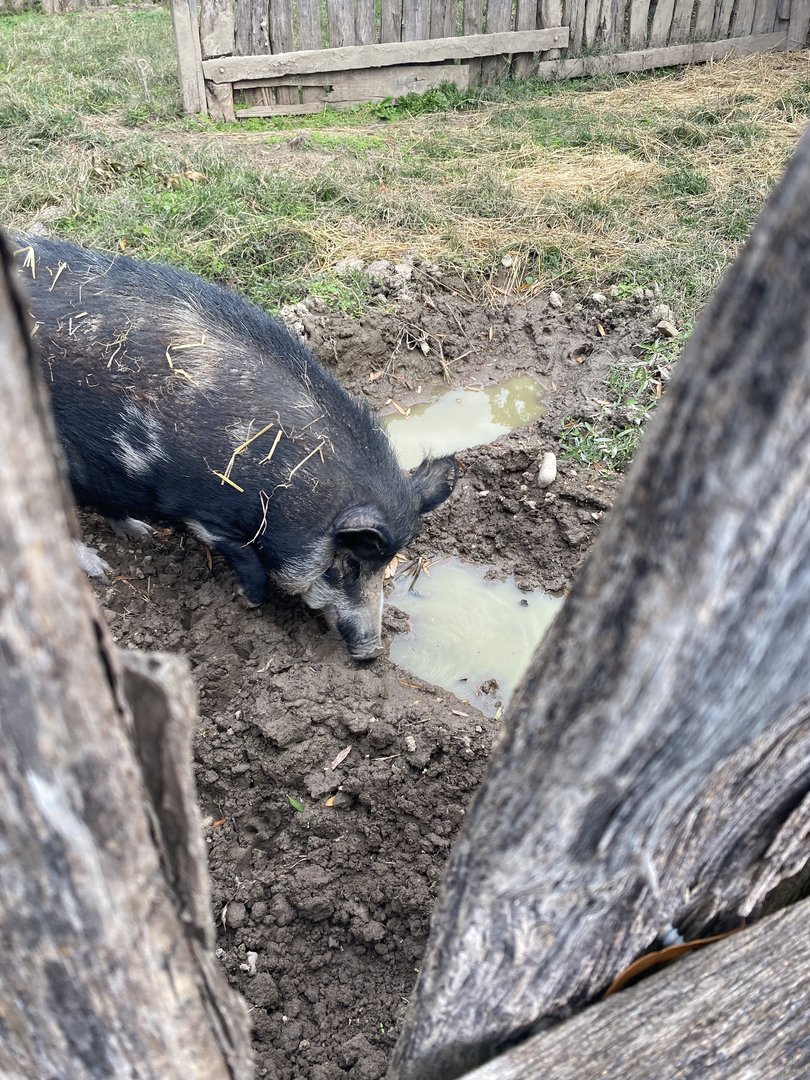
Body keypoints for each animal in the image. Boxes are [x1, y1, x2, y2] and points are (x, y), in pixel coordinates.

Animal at [13, 234, 457, 660]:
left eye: (385, 565)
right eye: (349, 563)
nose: (372, 651)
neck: (284, 487)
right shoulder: (206, 511)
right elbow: (249, 563)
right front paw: (246, 602)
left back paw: (143, 534)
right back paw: (101, 568)